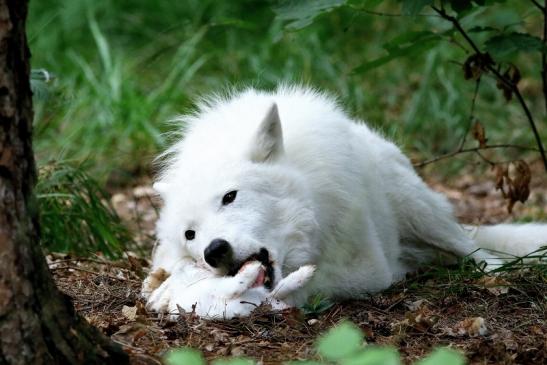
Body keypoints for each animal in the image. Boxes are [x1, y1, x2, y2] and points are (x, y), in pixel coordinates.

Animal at [144, 85, 547, 318]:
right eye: (190, 235)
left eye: (230, 197)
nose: (214, 251)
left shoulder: (370, 269)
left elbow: (308, 283)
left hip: (423, 213)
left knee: (473, 248)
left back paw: (499, 272)